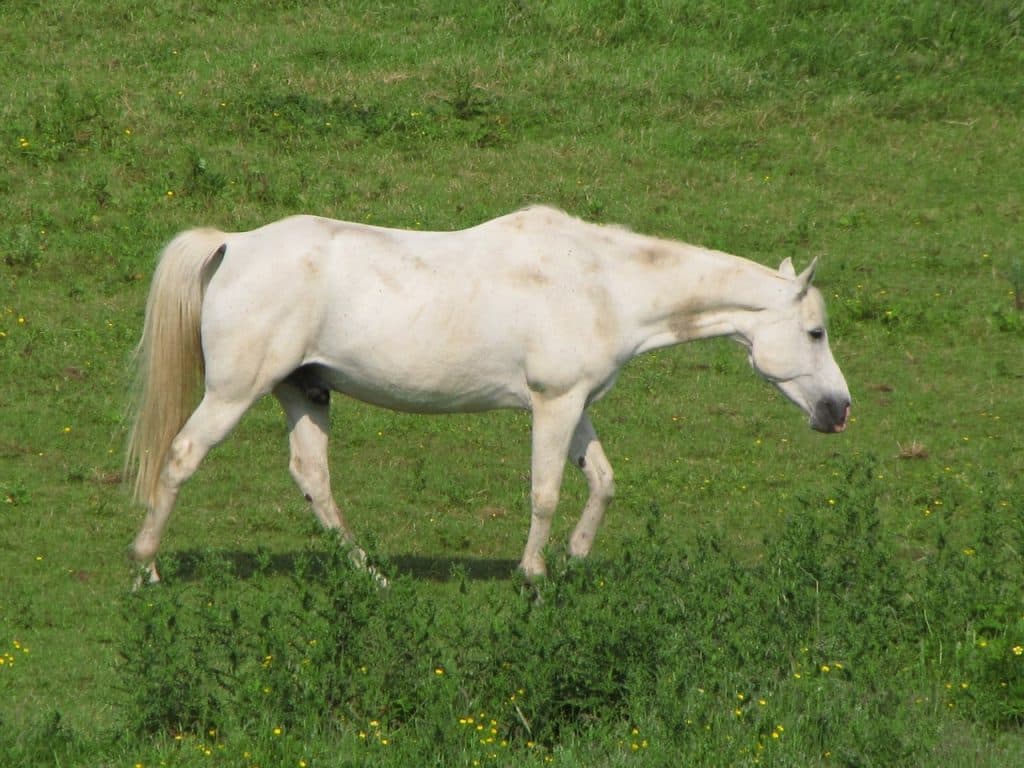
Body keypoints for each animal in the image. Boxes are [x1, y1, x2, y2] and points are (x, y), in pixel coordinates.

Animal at [125, 206, 850, 584]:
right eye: (815, 332)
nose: (839, 411)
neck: (602, 284)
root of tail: (233, 245)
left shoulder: (575, 405)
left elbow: (603, 482)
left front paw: (575, 558)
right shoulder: (553, 404)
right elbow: (546, 492)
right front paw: (532, 576)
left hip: (305, 393)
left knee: (313, 480)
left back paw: (372, 575)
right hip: (234, 392)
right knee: (182, 458)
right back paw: (147, 567)